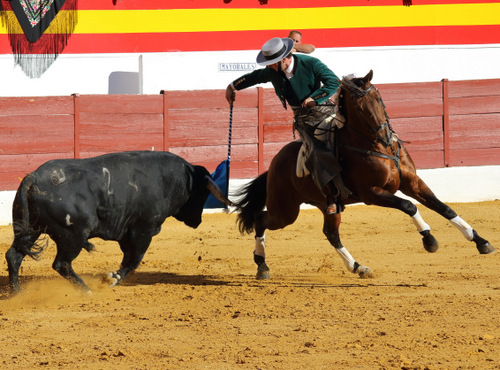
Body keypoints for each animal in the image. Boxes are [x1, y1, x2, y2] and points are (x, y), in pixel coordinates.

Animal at [5, 151, 232, 294]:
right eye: (202, 193)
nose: (197, 221)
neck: (174, 179)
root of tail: (33, 178)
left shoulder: (128, 232)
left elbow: (128, 257)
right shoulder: (143, 230)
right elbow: (134, 260)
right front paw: (112, 278)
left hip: (30, 229)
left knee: (14, 256)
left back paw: (18, 292)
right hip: (73, 235)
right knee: (61, 263)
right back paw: (85, 290)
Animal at [234, 69, 496, 278]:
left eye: (378, 97)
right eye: (359, 108)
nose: (386, 137)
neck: (377, 146)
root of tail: (273, 165)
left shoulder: (412, 182)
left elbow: (444, 207)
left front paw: (481, 242)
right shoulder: (372, 194)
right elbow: (409, 206)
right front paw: (429, 240)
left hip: (327, 205)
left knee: (331, 233)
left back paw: (358, 267)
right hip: (285, 211)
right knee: (261, 220)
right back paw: (262, 266)